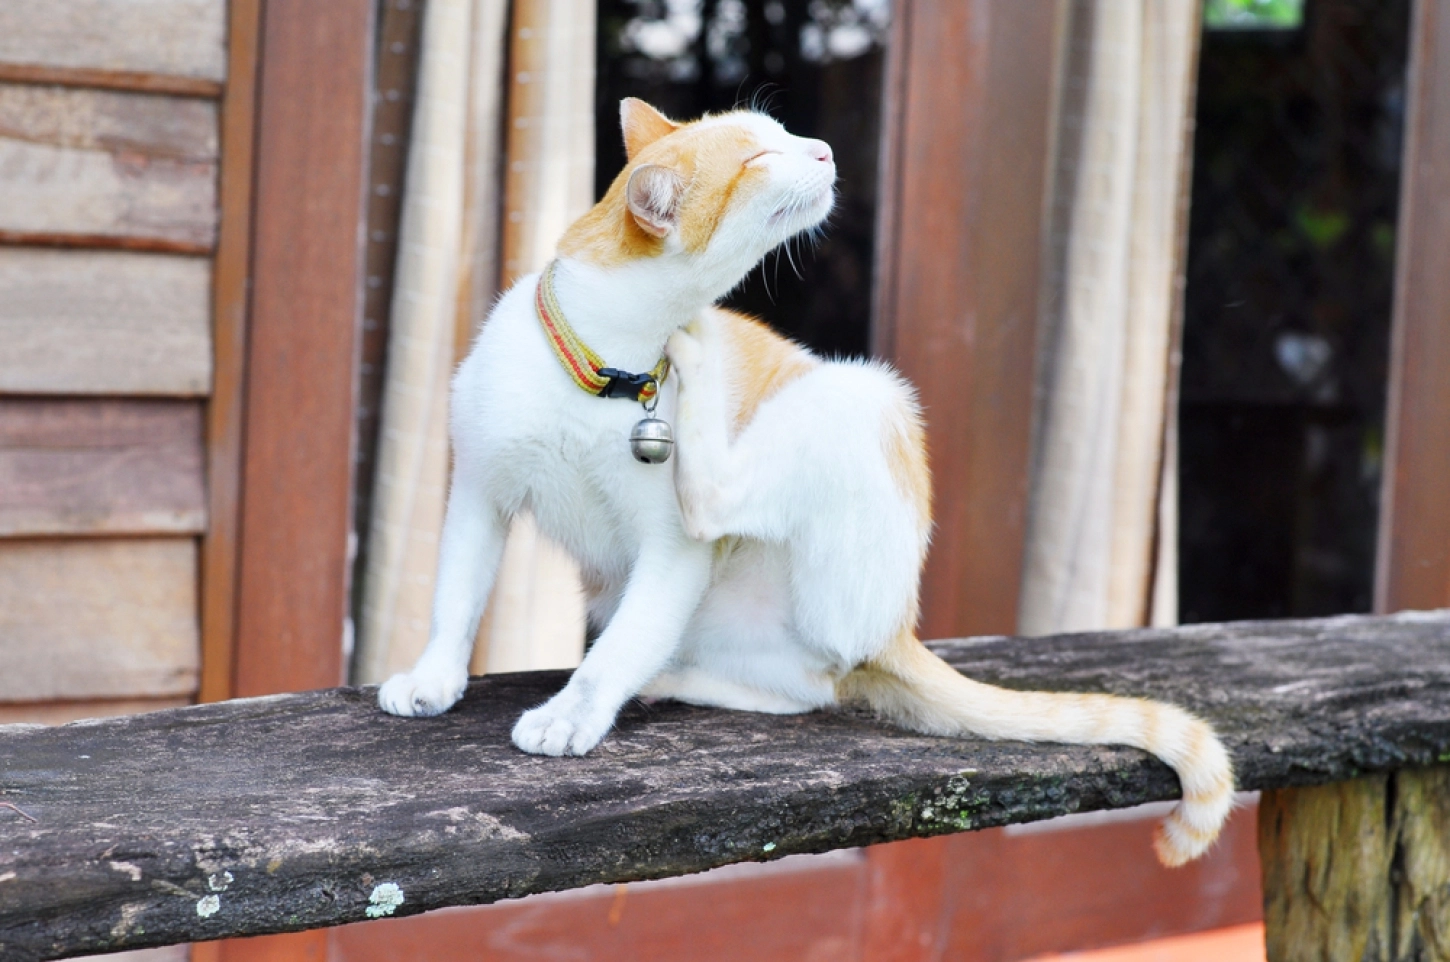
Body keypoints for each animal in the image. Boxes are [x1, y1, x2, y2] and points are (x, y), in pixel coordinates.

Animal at [377, 97, 1235, 864]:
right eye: (760, 155)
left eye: (784, 133)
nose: (822, 148)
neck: (609, 370)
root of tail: (898, 631)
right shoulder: (478, 491)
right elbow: (455, 599)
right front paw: (433, 679)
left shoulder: (671, 550)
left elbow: (613, 651)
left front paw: (574, 712)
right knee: (797, 688)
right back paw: (675, 676)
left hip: (860, 394)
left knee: (731, 538)